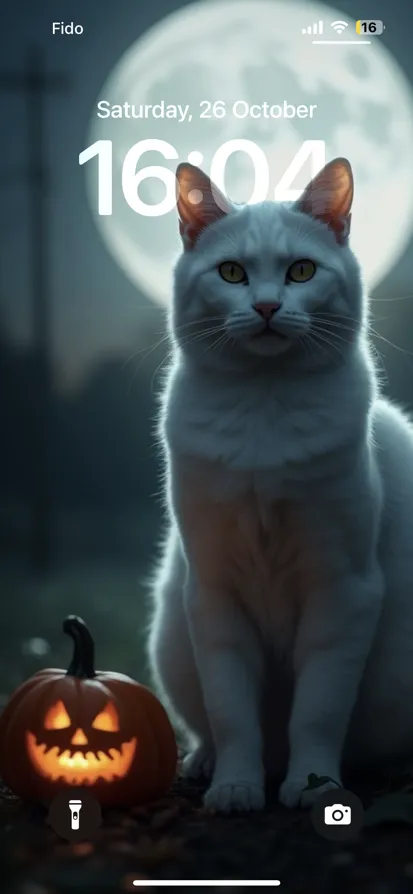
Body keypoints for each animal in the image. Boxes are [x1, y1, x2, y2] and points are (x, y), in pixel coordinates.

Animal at [147, 158, 413, 816]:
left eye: (301, 271)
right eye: (232, 273)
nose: (267, 306)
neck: (263, 409)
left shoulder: (343, 589)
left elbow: (318, 710)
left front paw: (315, 788)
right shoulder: (214, 591)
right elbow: (232, 713)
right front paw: (235, 788)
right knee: (208, 724)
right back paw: (205, 763)